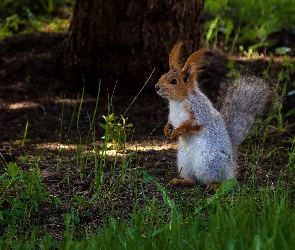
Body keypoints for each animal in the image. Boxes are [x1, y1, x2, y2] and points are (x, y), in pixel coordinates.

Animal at [156, 41, 272, 186]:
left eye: (173, 81)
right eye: (162, 76)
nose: (156, 87)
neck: (178, 101)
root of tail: (231, 163)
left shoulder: (199, 112)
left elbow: (191, 124)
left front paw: (178, 131)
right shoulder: (173, 117)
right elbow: (170, 122)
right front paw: (166, 130)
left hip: (209, 162)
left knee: (222, 180)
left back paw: (214, 185)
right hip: (184, 162)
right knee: (193, 180)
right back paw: (182, 181)